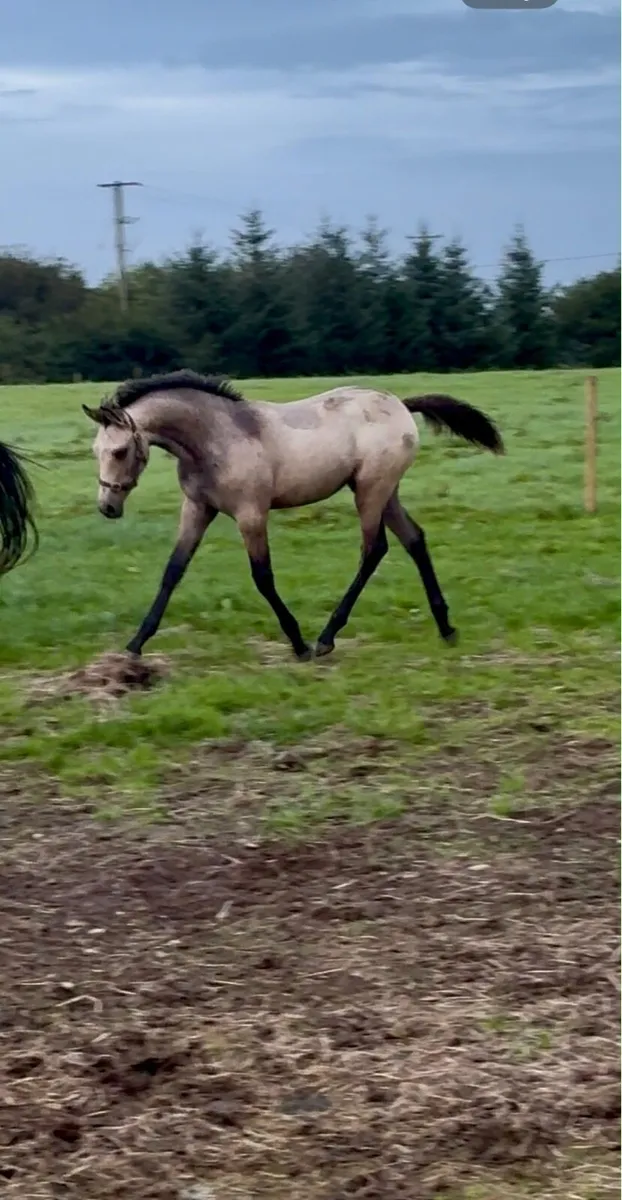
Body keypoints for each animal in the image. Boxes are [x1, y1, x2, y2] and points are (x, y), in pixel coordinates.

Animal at [83, 370, 504, 661]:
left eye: (119, 451)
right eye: (96, 451)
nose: (107, 507)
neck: (217, 438)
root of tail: (399, 403)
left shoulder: (251, 514)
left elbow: (263, 577)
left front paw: (298, 643)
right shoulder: (198, 509)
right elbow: (173, 571)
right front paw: (136, 644)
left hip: (370, 492)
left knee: (374, 549)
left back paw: (327, 638)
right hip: (385, 493)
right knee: (414, 539)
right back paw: (445, 627)